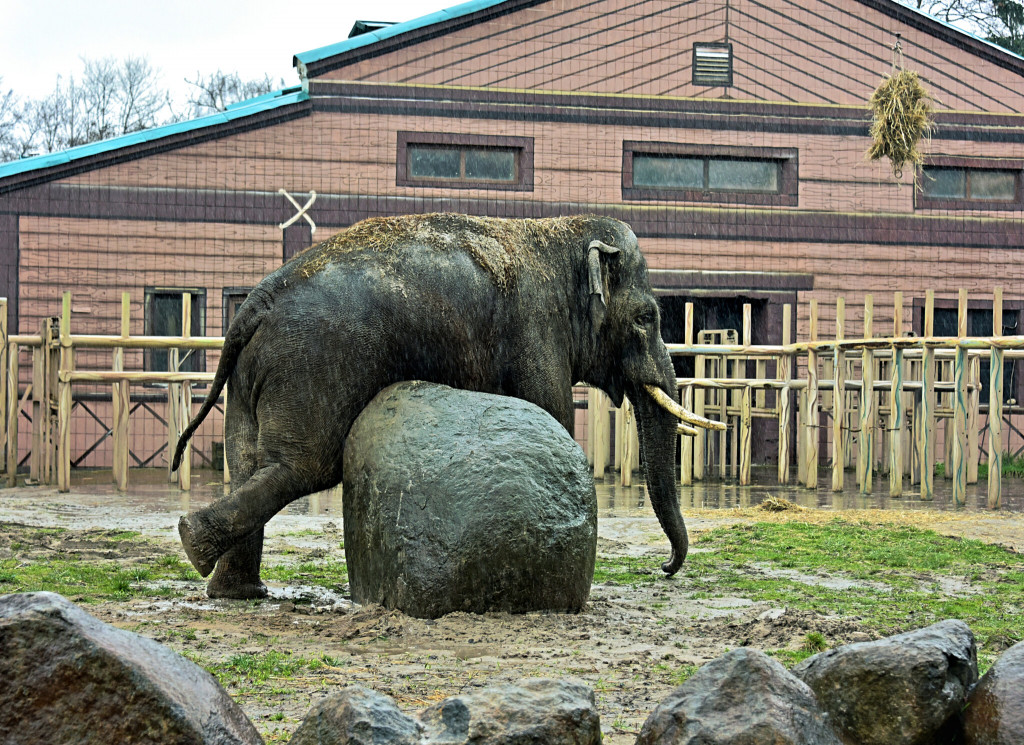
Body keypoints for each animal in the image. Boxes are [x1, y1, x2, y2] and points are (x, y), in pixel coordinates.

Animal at [174, 212, 720, 597]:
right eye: (647, 318)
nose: (663, 567)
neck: (559, 231)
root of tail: (255, 303)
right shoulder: (537, 332)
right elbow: (553, 416)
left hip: (252, 375)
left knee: (248, 462)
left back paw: (236, 591)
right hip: (311, 363)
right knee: (300, 466)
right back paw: (192, 542)